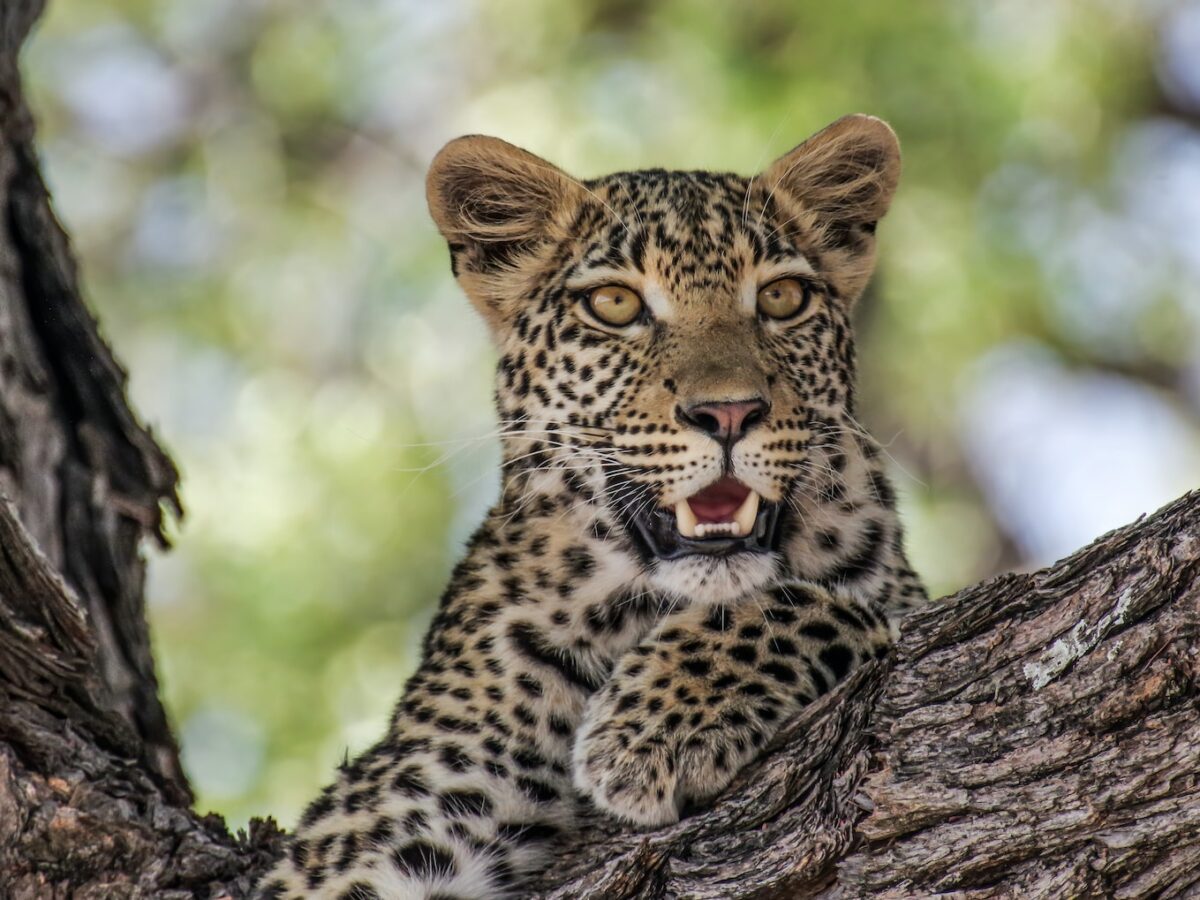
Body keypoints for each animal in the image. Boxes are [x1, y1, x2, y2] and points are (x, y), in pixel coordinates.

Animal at [253, 114, 926, 900]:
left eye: (783, 299)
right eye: (615, 305)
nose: (729, 413)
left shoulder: (894, 592)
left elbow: (837, 605)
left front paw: (654, 727)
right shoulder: (410, 797)